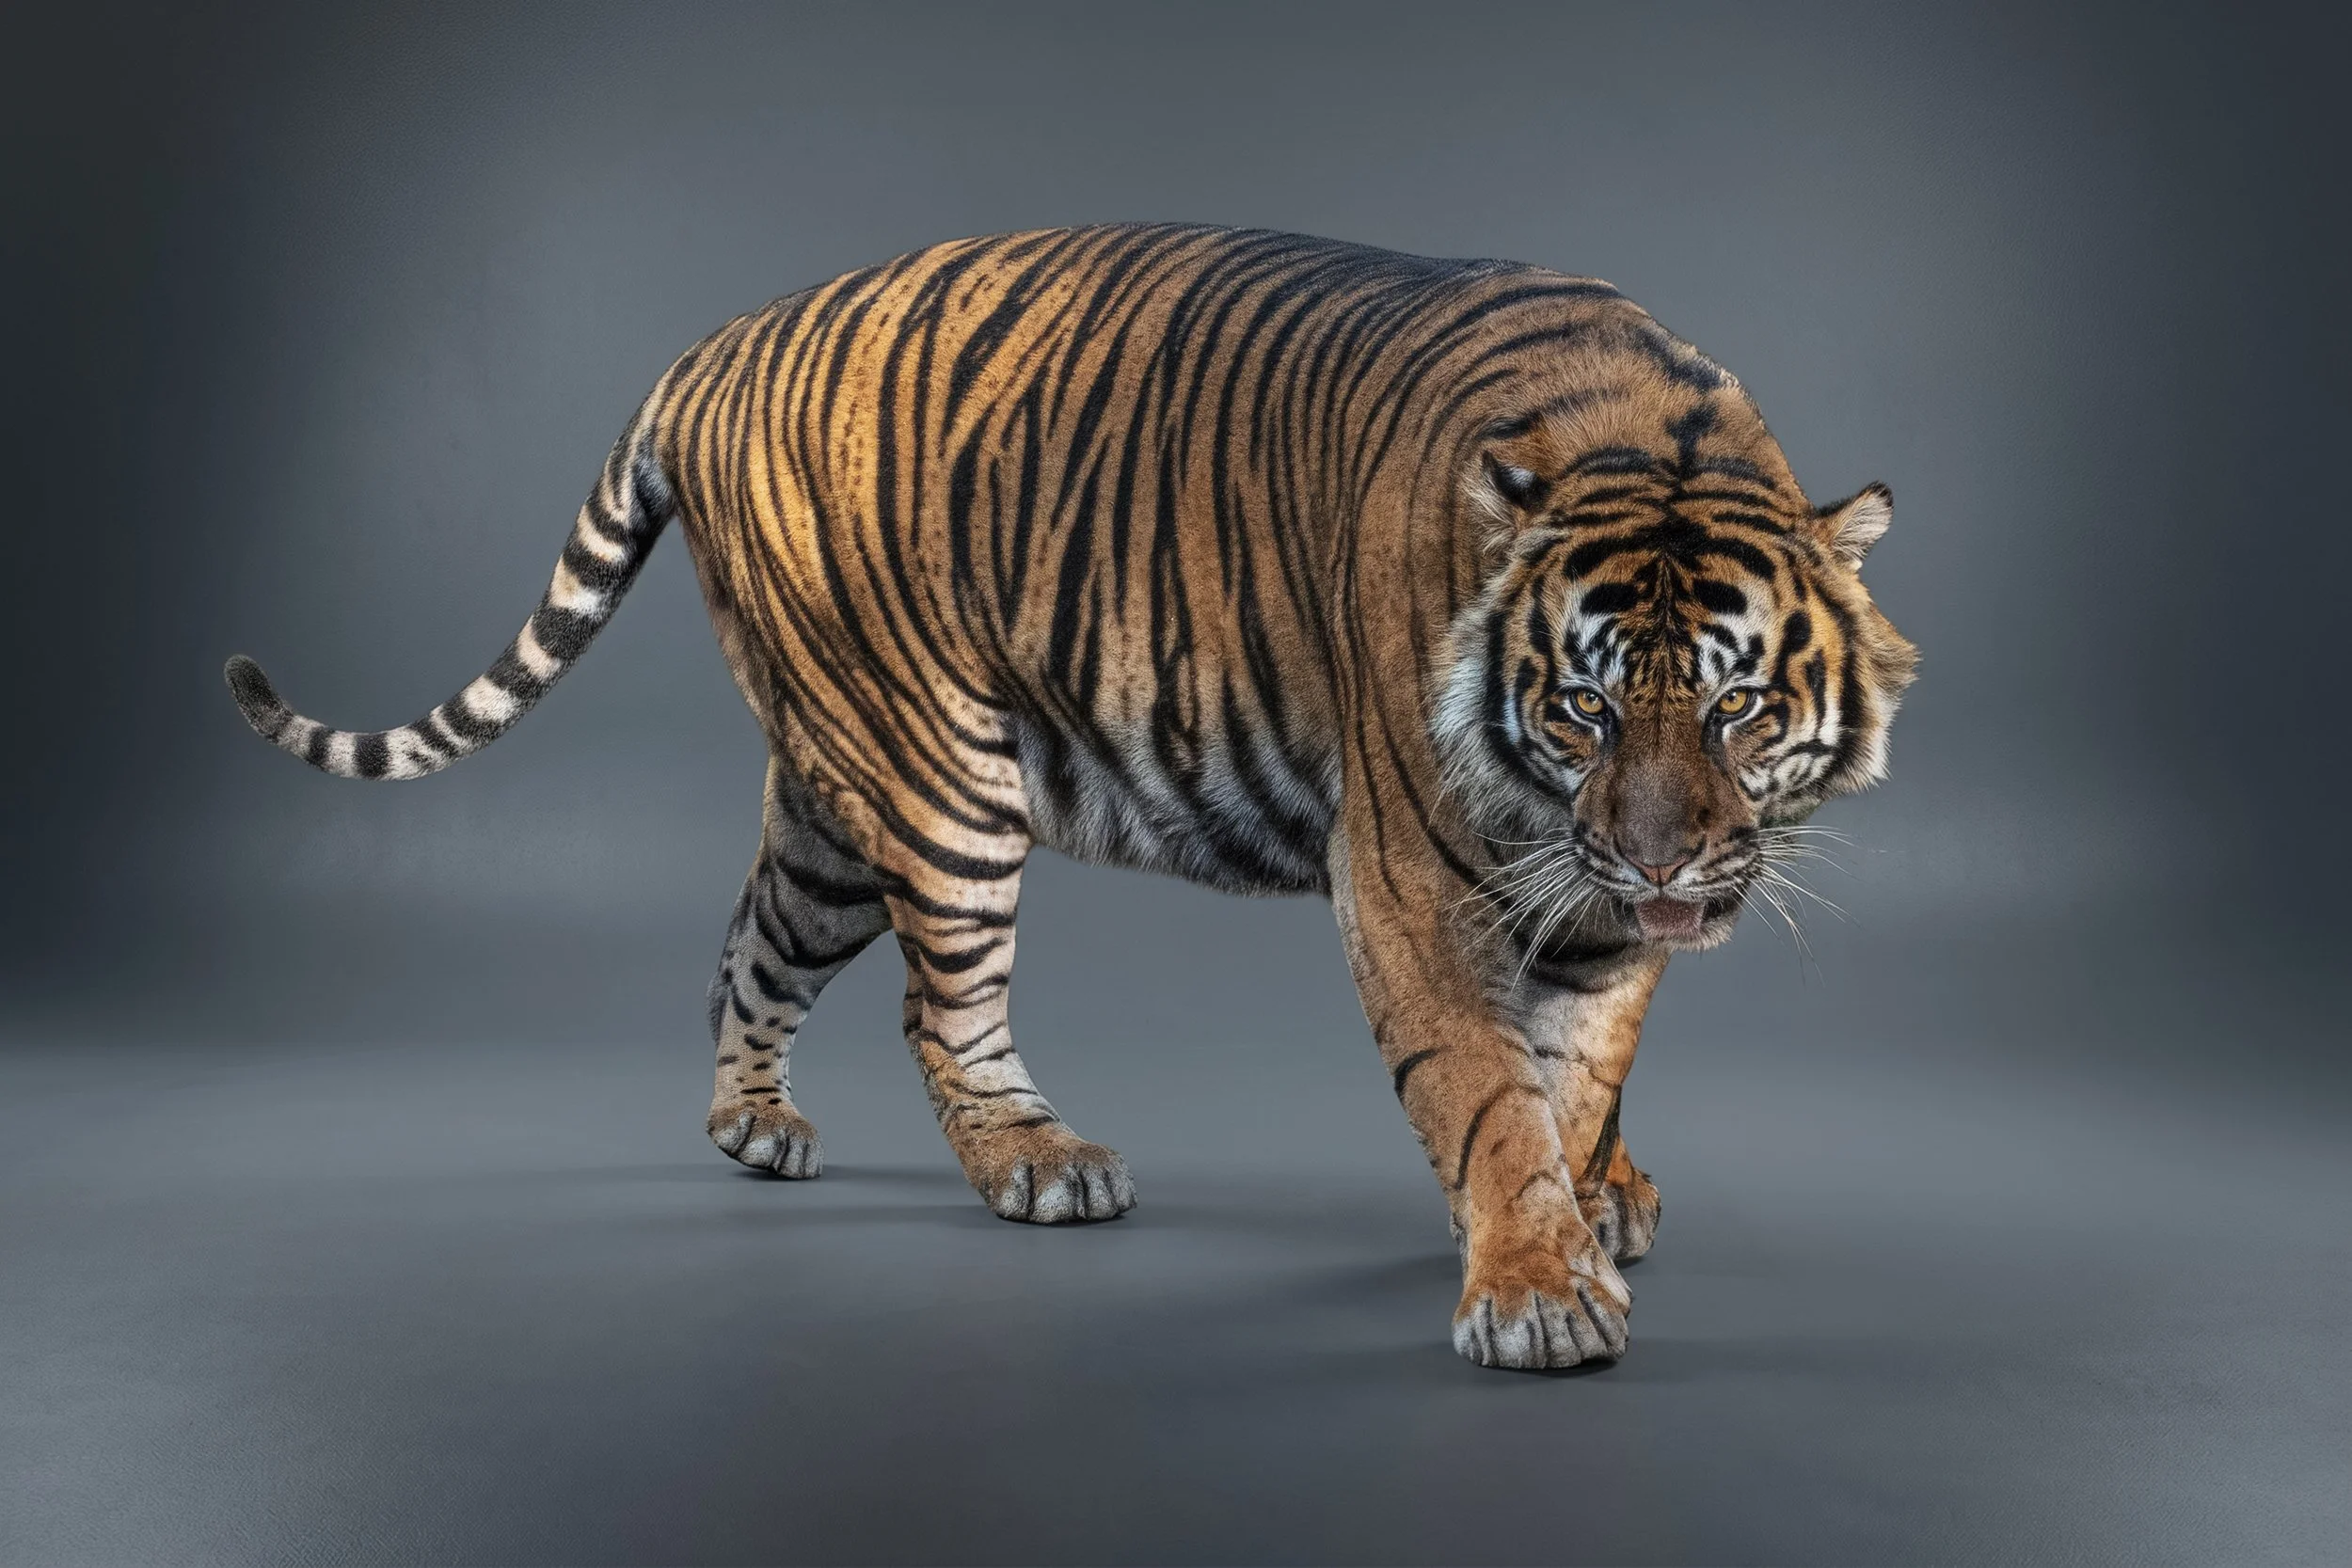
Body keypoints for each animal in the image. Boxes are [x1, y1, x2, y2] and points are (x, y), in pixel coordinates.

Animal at [226, 223, 1916, 1369]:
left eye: (1739, 706)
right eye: (1581, 707)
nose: (1662, 864)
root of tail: (709, 347)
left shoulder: (1585, 901)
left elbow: (1580, 1068)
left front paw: (1585, 1203)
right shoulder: (1416, 870)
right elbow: (1495, 1084)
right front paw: (1537, 1284)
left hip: (830, 804)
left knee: (748, 945)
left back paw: (754, 1126)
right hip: (937, 770)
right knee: (939, 1004)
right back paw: (1040, 1163)